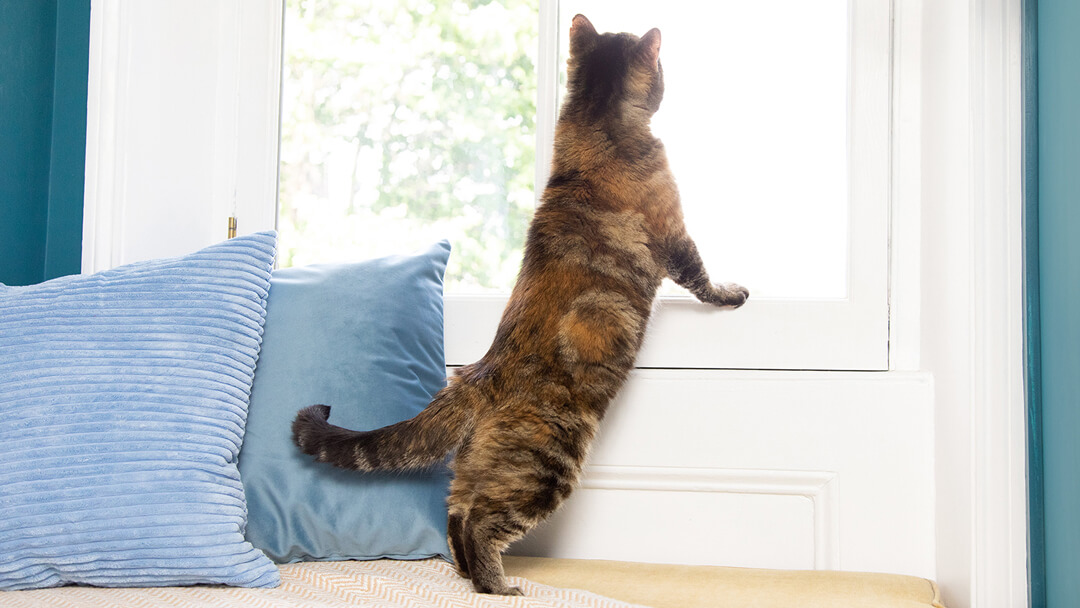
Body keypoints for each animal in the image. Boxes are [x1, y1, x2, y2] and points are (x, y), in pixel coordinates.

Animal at [295, 13, 751, 596]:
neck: (597, 122)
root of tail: (477, 375)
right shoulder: (673, 232)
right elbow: (700, 274)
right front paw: (731, 294)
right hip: (543, 467)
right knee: (479, 521)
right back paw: (499, 587)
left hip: (480, 467)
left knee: (455, 510)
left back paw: (471, 579)